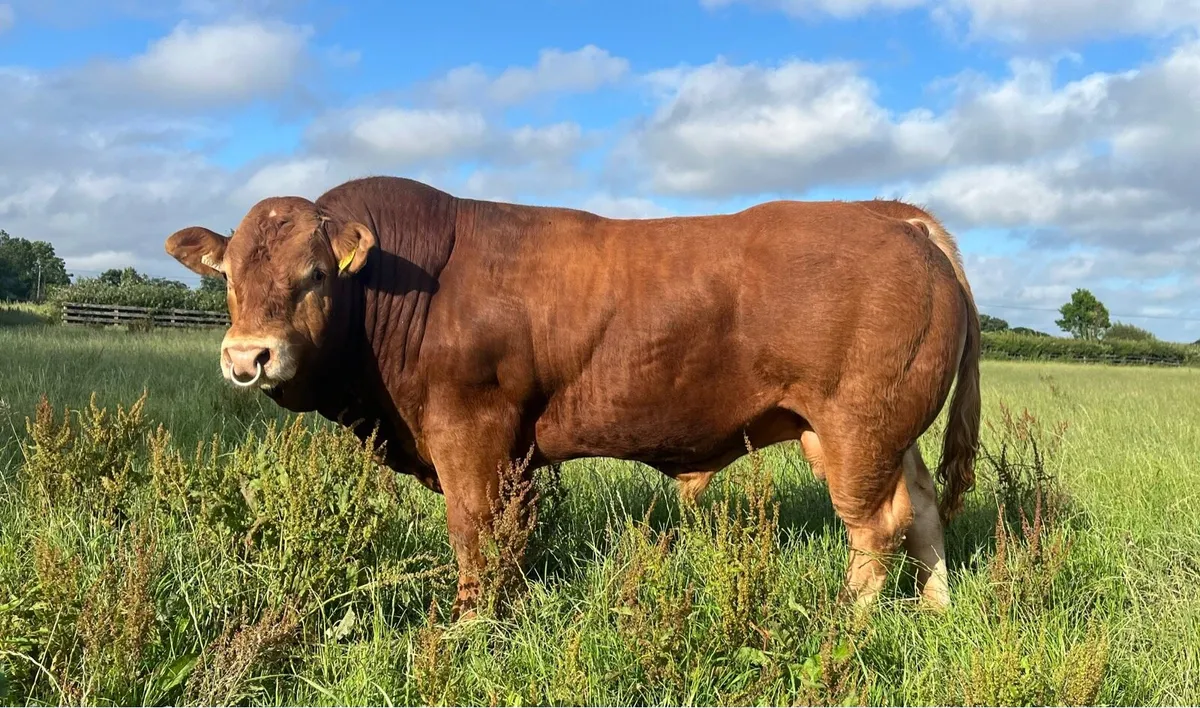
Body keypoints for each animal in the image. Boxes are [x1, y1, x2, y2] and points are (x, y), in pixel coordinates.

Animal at [164, 176, 980, 617]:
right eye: (229, 277)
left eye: (314, 276)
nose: (247, 357)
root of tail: (886, 212)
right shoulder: (518, 452)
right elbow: (512, 537)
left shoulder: (471, 432)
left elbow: (473, 532)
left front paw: (468, 627)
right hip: (876, 431)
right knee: (923, 507)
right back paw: (936, 608)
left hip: (855, 429)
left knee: (877, 526)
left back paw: (849, 624)